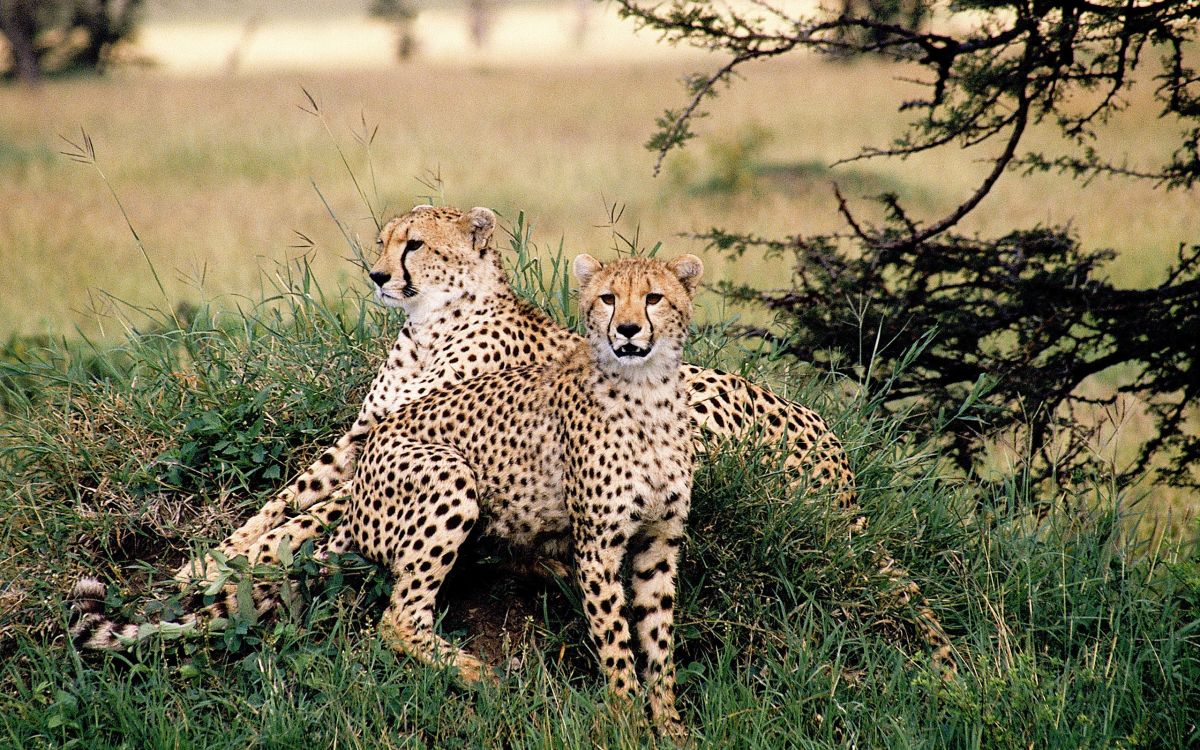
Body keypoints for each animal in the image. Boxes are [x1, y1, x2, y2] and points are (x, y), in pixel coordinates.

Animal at [72, 254, 700, 734]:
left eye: (654, 298)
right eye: (607, 299)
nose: (627, 331)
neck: (646, 393)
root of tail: (357, 497)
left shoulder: (659, 544)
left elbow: (658, 639)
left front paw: (670, 727)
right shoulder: (597, 546)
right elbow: (616, 641)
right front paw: (627, 722)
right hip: (449, 476)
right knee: (398, 616)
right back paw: (475, 672)